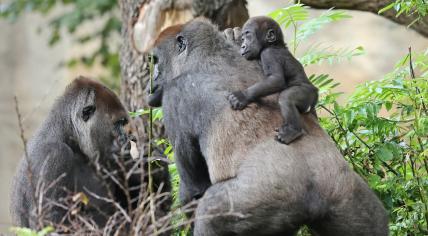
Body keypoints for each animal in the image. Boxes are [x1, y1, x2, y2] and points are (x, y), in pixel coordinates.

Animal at [10, 77, 139, 229]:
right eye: (117, 123)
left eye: (123, 123)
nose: (126, 139)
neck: (67, 135)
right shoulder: (54, 155)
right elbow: (49, 225)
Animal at [227, 16, 318, 144]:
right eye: (242, 39)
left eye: (248, 36)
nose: (242, 46)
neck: (274, 44)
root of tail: (316, 93)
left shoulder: (268, 54)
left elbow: (276, 79)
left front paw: (243, 96)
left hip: (307, 94)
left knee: (286, 98)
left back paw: (292, 131)